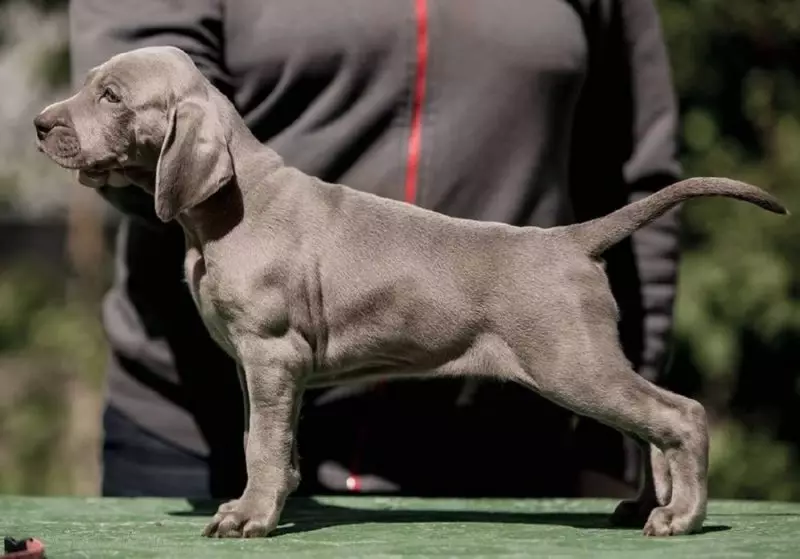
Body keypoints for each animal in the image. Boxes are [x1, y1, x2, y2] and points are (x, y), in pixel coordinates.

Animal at [34, 44, 784, 540]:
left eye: (112, 97)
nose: (40, 124)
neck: (228, 204)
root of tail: (571, 239)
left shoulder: (273, 355)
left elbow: (262, 447)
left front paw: (250, 515)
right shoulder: (257, 368)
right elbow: (266, 440)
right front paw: (273, 501)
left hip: (572, 364)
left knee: (681, 414)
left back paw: (682, 516)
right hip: (587, 363)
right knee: (652, 423)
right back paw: (644, 507)